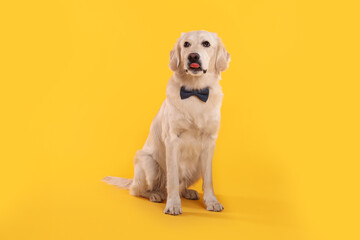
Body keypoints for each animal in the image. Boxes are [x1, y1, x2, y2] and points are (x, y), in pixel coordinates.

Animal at [102, 30, 231, 216]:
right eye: (186, 44)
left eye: (206, 44)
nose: (193, 56)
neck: (194, 92)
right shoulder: (172, 140)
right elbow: (172, 179)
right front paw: (173, 205)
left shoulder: (209, 142)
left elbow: (208, 180)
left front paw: (212, 201)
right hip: (149, 164)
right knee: (139, 190)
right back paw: (155, 194)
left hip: (196, 168)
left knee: (181, 184)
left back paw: (187, 192)